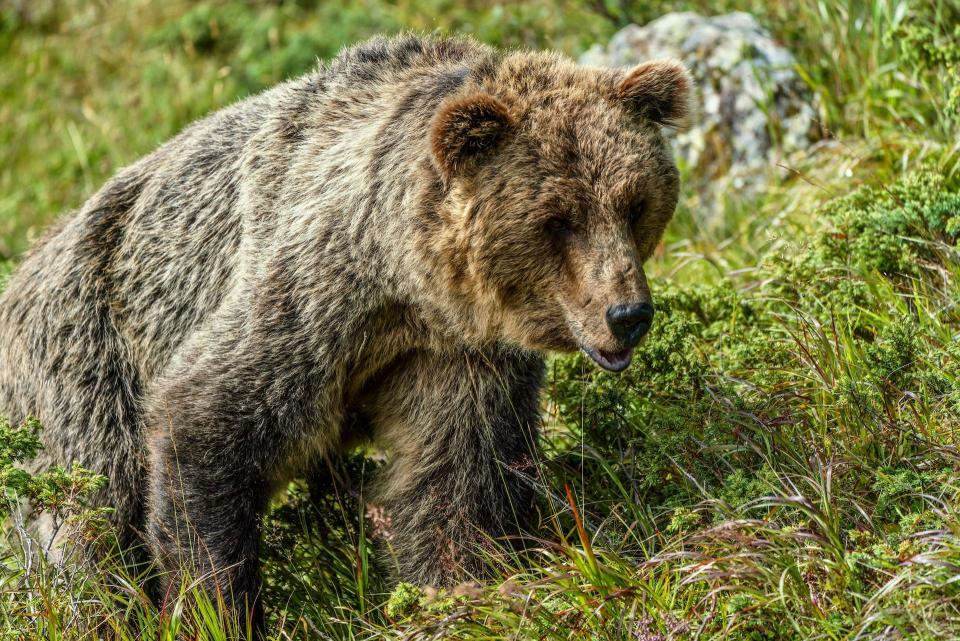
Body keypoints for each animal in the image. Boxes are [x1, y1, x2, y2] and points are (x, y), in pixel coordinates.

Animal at [0, 35, 688, 632]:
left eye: (634, 203)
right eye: (558, 219)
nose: (627, 314)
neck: (406, 286)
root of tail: (27, 267)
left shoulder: (454, 356)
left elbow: (455, 477)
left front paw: (463, 589)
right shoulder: (308, 299)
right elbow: (204, 421)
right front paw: (215, 610)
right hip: (86, 360)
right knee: (91, 514)